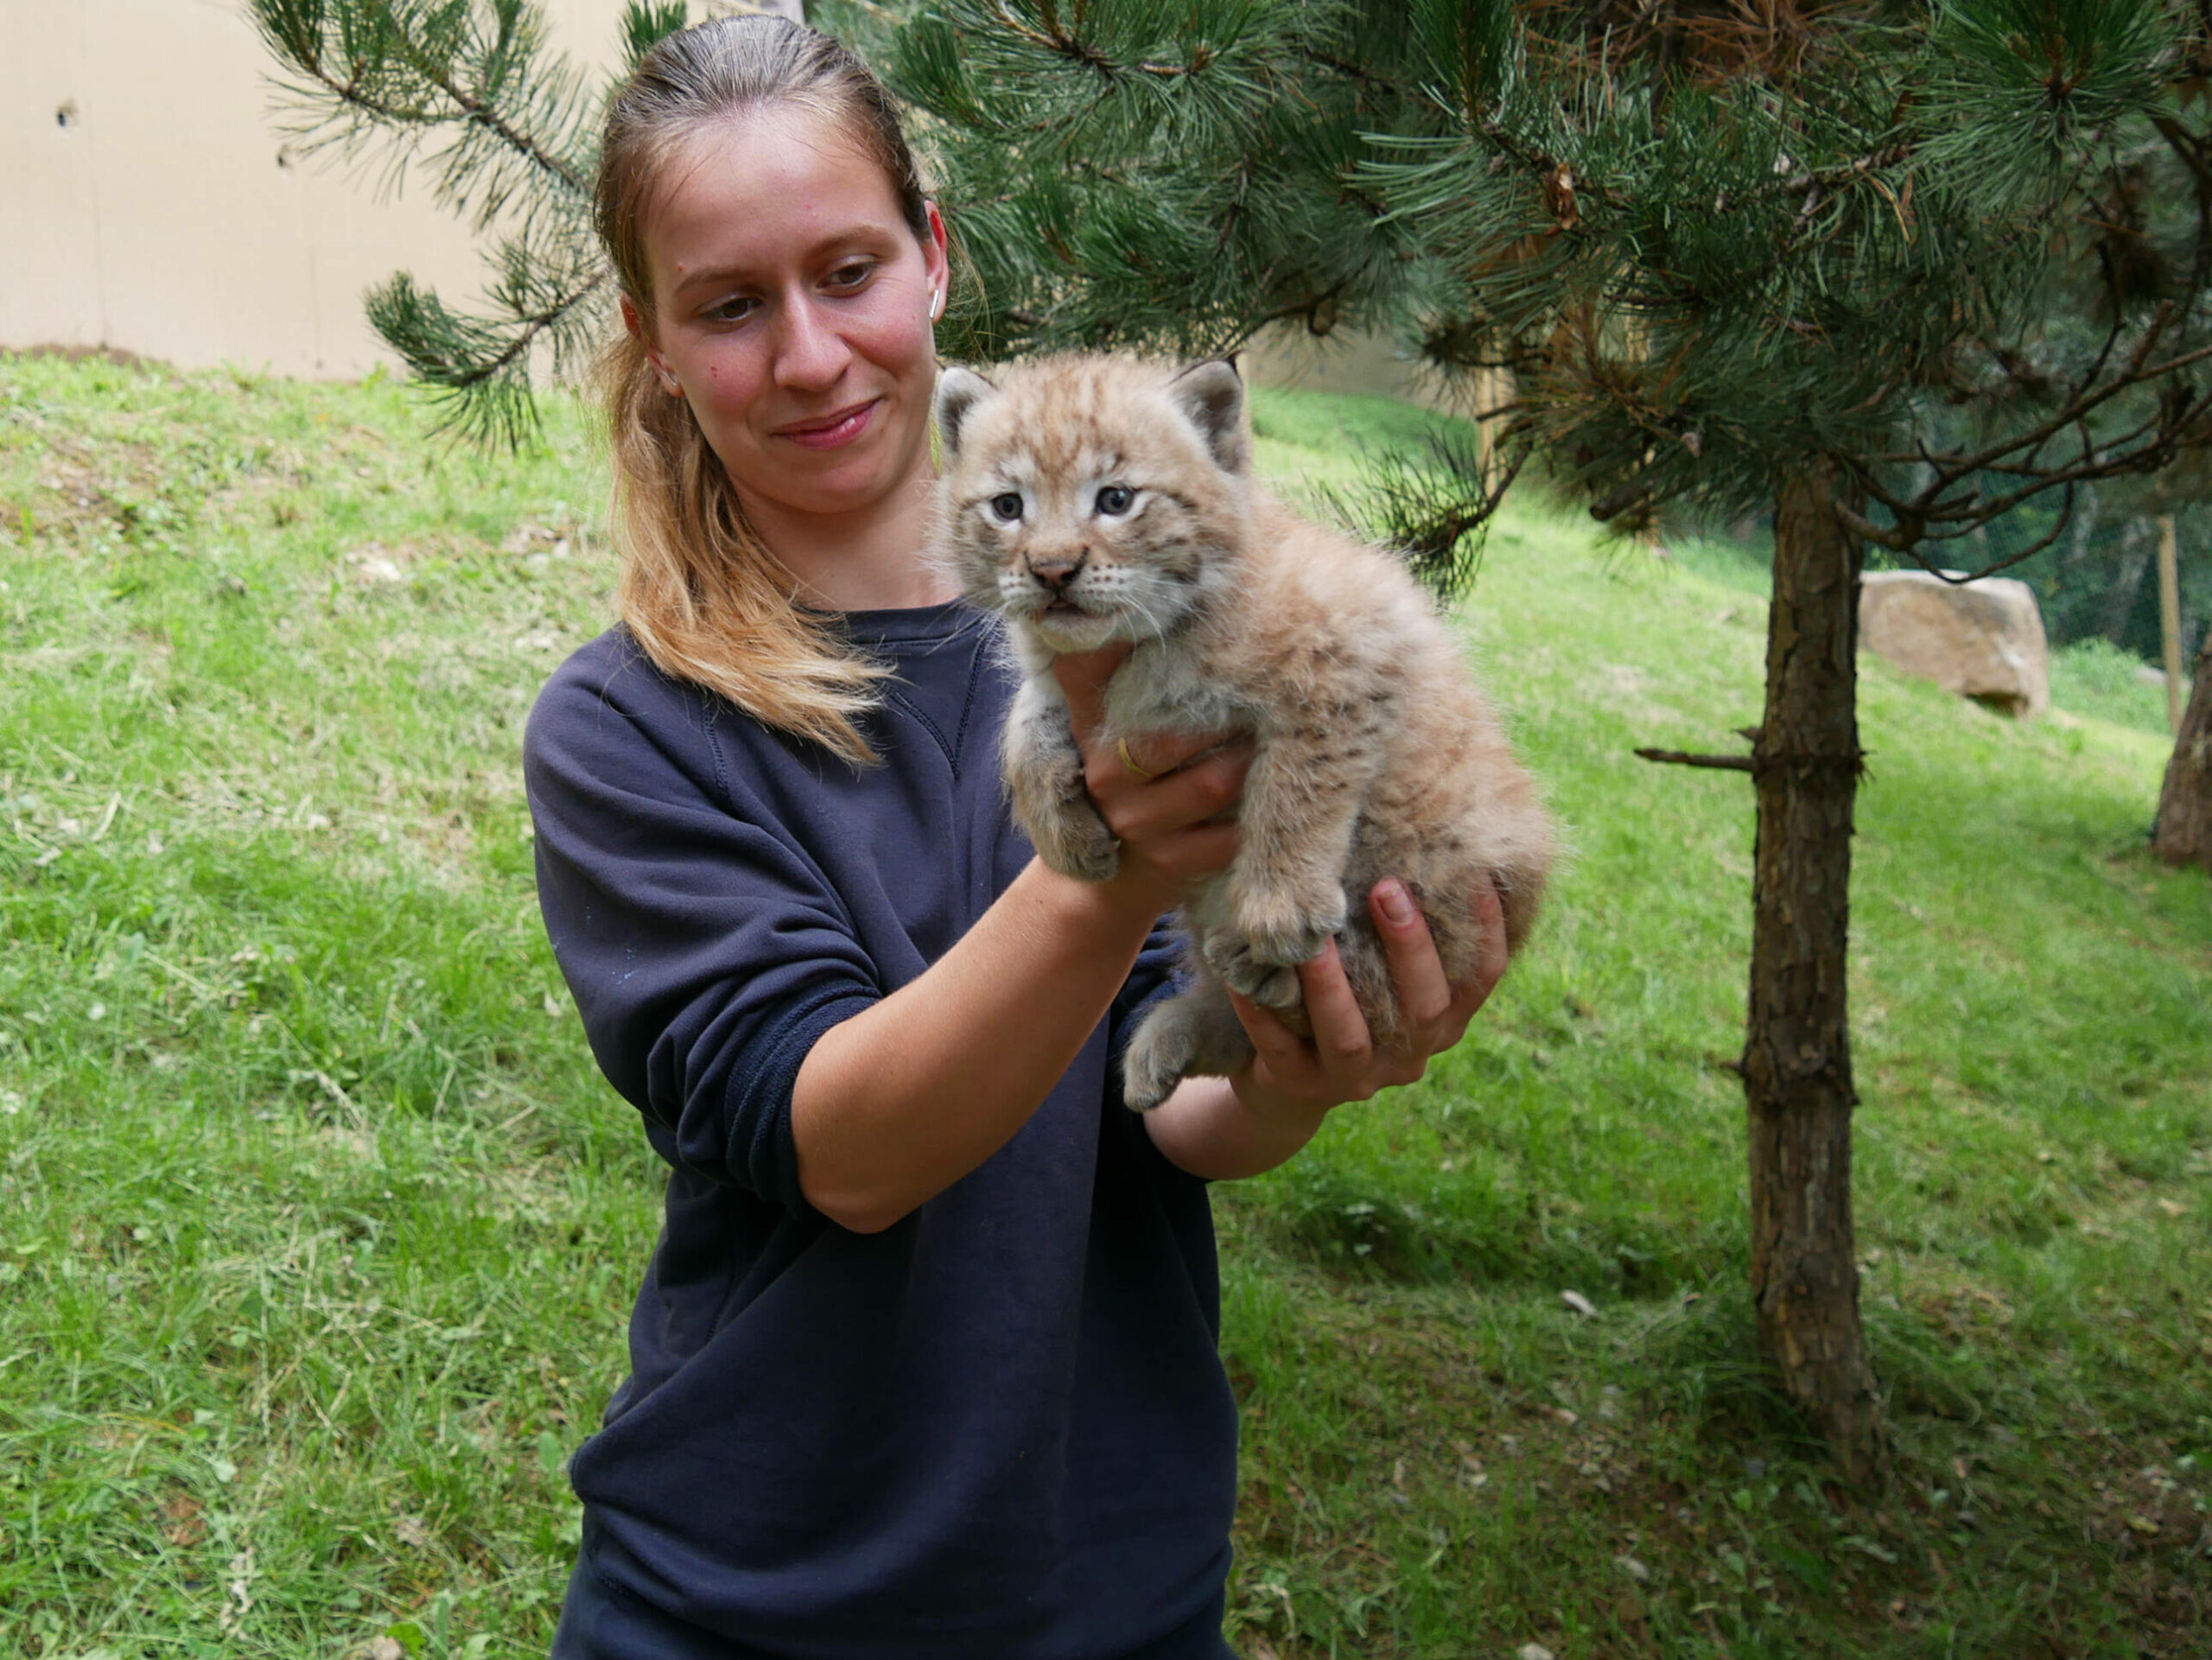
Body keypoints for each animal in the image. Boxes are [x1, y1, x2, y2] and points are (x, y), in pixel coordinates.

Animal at [933, 356, 1557, 1110]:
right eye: (1007, 507)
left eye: (1116, 499)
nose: (1051, 570)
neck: (1143, 637)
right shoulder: (1064, 669)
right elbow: (1025, 718)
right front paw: (1064, 837)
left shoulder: (1355, 645)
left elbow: (1296, 783)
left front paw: (1279, 907)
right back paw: (1175, 1036)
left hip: (1445, 860)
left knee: (1380, 1002)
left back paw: (1269, 966)